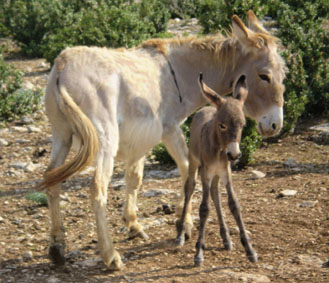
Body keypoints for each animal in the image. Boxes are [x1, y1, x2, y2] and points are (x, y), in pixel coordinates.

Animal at [176, 73, 258, 266]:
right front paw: (199, 252)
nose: (234, 154)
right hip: (194, 163)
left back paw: (226, 238)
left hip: (216, 174)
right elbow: (204, 208)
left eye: (243, 125)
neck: (220, 149)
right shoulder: (205, 172)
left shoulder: (225, 172)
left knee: (215, 193)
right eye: (222, 125)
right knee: (189, 188)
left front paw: (249, 250)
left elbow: (233, 204)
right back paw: (181, 235)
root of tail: (206, 107)